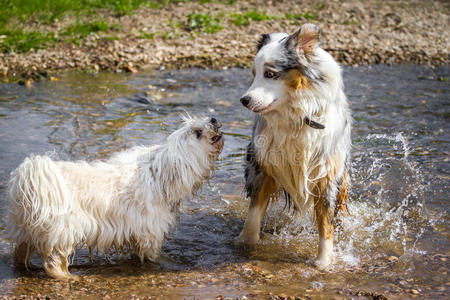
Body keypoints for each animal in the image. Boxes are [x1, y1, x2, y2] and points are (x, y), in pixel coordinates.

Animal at [6, 115, 224, 278]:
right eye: (197, 133)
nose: (213, 118)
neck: (159, 174)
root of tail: (27, 178)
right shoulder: (150, 232)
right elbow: (153, 253)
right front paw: (164, 262)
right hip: (61, 231)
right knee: (53, 261)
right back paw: (67, 276)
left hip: (27, 231)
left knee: (20, 253)